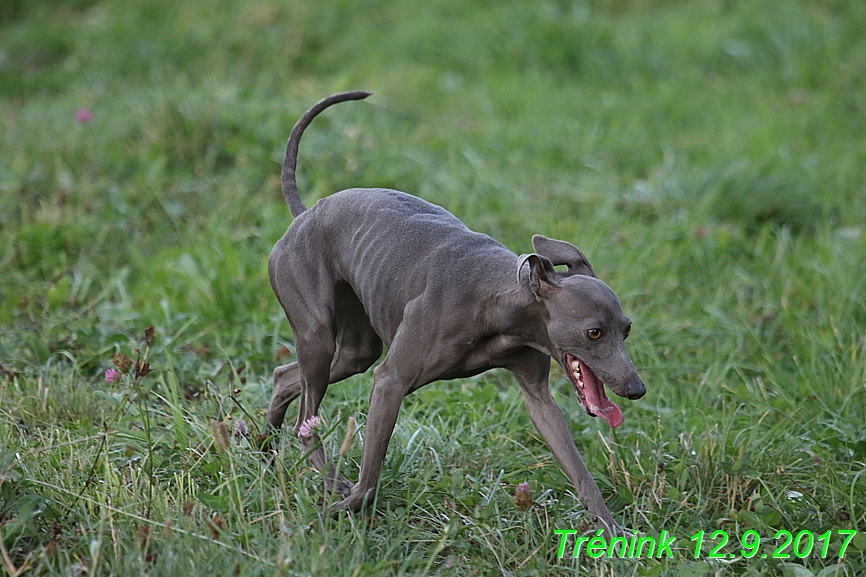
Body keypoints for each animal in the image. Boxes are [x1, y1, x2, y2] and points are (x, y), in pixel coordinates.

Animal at [266, 91, 644, 536]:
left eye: (626, 329)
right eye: (594, 332)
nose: (636, 388)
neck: (503, 304)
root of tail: (306, 213)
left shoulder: (538, 396)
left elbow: (580, 472)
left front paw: (614, 533)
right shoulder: (391, 381)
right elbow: (370, 479)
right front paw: (341, 509)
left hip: (354, 350)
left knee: (285, 376)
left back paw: (264, 451)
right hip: (318, 333)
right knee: (305, 422)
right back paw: (328, 483)